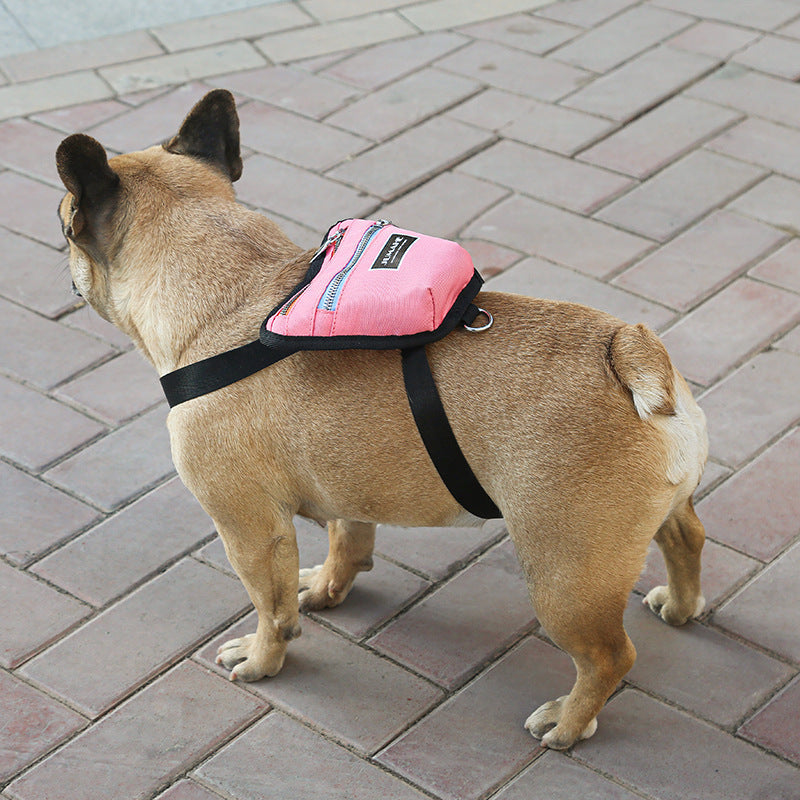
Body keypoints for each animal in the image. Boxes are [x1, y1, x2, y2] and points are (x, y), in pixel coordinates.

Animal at [54, 89, 708, 752]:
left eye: (63, 224)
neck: (234, 288)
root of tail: (627, 350)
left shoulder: (248, 527)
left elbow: (271, 607)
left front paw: (263, 659)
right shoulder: (343, 482)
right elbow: (348, 538)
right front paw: (326, 587)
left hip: (564, 574)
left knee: (609, 657)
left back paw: (568, 723)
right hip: (643, 521)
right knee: (686, 537)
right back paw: (682, 606)